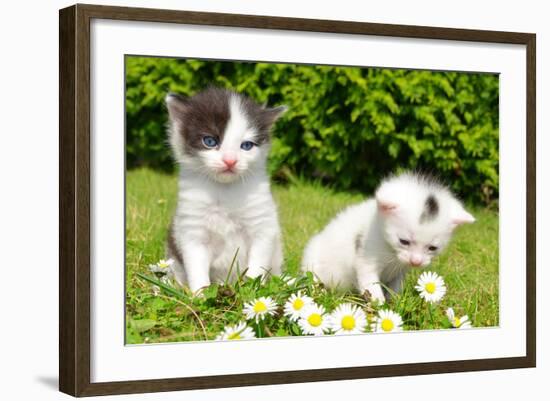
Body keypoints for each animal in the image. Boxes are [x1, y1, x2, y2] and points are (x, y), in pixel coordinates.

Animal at [165, 87, 286, 292]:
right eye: (210, 141)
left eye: (247, 145)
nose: (230, 161)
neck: (225, 189)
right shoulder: (192, 230)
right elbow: (196, 267)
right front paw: (200, 294)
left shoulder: (263, 226)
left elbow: (257, 264)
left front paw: (251, 291)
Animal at [302, 172, 474, 300]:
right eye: (403, 241)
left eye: (432, 248)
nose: (416, 262)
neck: (389, 249)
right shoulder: (366, 257)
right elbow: (370, 284)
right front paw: (379, 305)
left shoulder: (401, 269)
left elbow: (396, 287)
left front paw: (395, 302)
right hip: (311, 261)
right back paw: (320, 293)